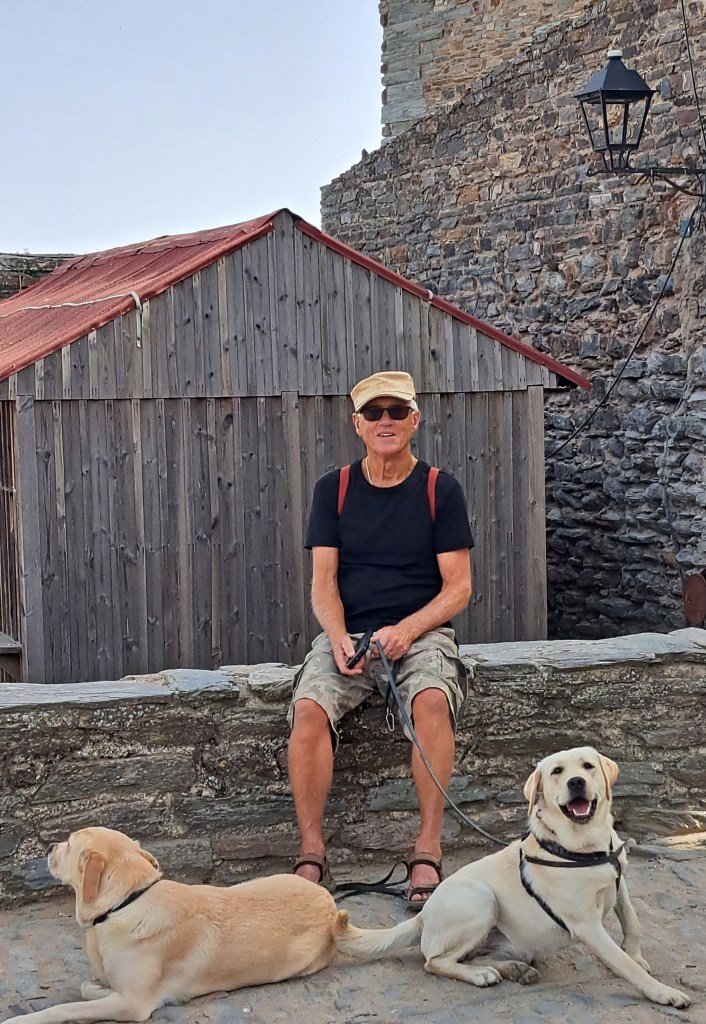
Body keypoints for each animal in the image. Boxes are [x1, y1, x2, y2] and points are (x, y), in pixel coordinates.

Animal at [3, 826, 349, 1024]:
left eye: (69, 842)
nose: (49, 847)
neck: (127, 901)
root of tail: (329, 905)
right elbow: (88, 987)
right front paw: (98, 987)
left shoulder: (133, 1006)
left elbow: (66, 1009)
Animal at [336, 746, 691, 1008]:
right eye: (557, 772)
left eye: (588, 766)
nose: (576, 781)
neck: (584, 846)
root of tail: (423, 915)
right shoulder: (587, 925)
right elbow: (623, 963)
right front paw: (663, 991)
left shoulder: (620, 882)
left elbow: (632, 920)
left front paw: (637, 955)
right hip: (481, 898)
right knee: (433, 961)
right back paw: (480, 975)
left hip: (514, 941)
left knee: (477, 956)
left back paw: (513, 970)